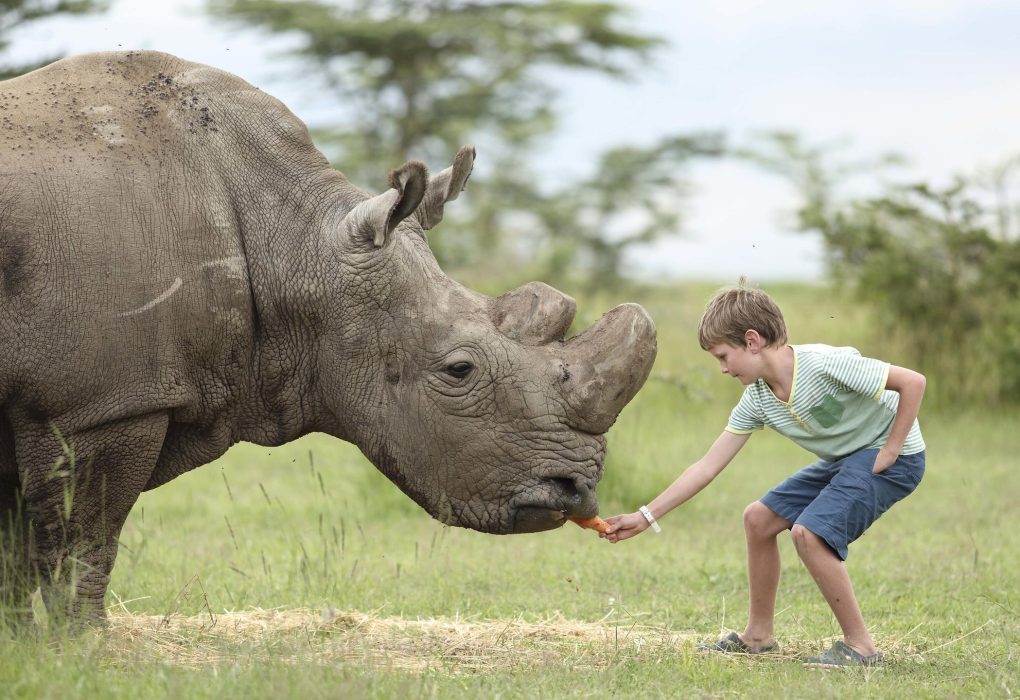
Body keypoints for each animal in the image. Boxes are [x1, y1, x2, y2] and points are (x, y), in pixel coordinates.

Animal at [0, 51, 656, 623]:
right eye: (458, 370)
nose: (575, 491)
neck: (293, 240)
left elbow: (18, 557)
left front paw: (30, 653)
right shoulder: (99, 404)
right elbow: (82, 551)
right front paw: (80, 653)